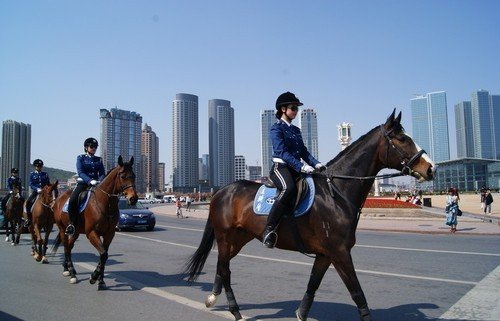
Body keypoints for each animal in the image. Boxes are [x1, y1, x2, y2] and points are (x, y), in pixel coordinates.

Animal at [51, 155, 138, 288]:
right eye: (123, 176)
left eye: (134, 176)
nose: (133, 198)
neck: (105, 203)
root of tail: (59, 198)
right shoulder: (91, 233)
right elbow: (103, 254)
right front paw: (94, 277)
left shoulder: (109, 234)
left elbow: (104, 255)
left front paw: (100, 281)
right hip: (62, 229)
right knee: (66, 248)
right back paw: (72, 274)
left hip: (76, 232)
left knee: (69, 247)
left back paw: (68, 269)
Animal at [184, 109, 434, 318]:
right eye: (402, 139)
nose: (430, 168)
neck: (336, 192)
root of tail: (221, 191)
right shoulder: (340, 252)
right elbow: (357, 293)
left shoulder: (325, 254)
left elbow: (312, 285)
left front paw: (301, 313)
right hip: (225, 237)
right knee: (225, 270)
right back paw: (234, 310)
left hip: (238, 238)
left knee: (222, 266)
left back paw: (212, 298)